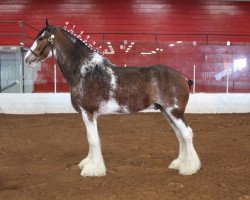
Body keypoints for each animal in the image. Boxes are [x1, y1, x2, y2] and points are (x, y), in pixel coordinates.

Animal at [24, 19, 201, 177]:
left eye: (40, 38)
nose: (27, 59)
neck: (85, 71)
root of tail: (183, 77)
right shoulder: (87, 115)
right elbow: (91, 140)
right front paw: (88, 163)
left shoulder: (88, 113)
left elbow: (93, 140)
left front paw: (93, 170)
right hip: (166, 112)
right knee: (179, 135)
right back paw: (179, 163)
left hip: (175, 112)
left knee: (186, 133)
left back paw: (189, 168)